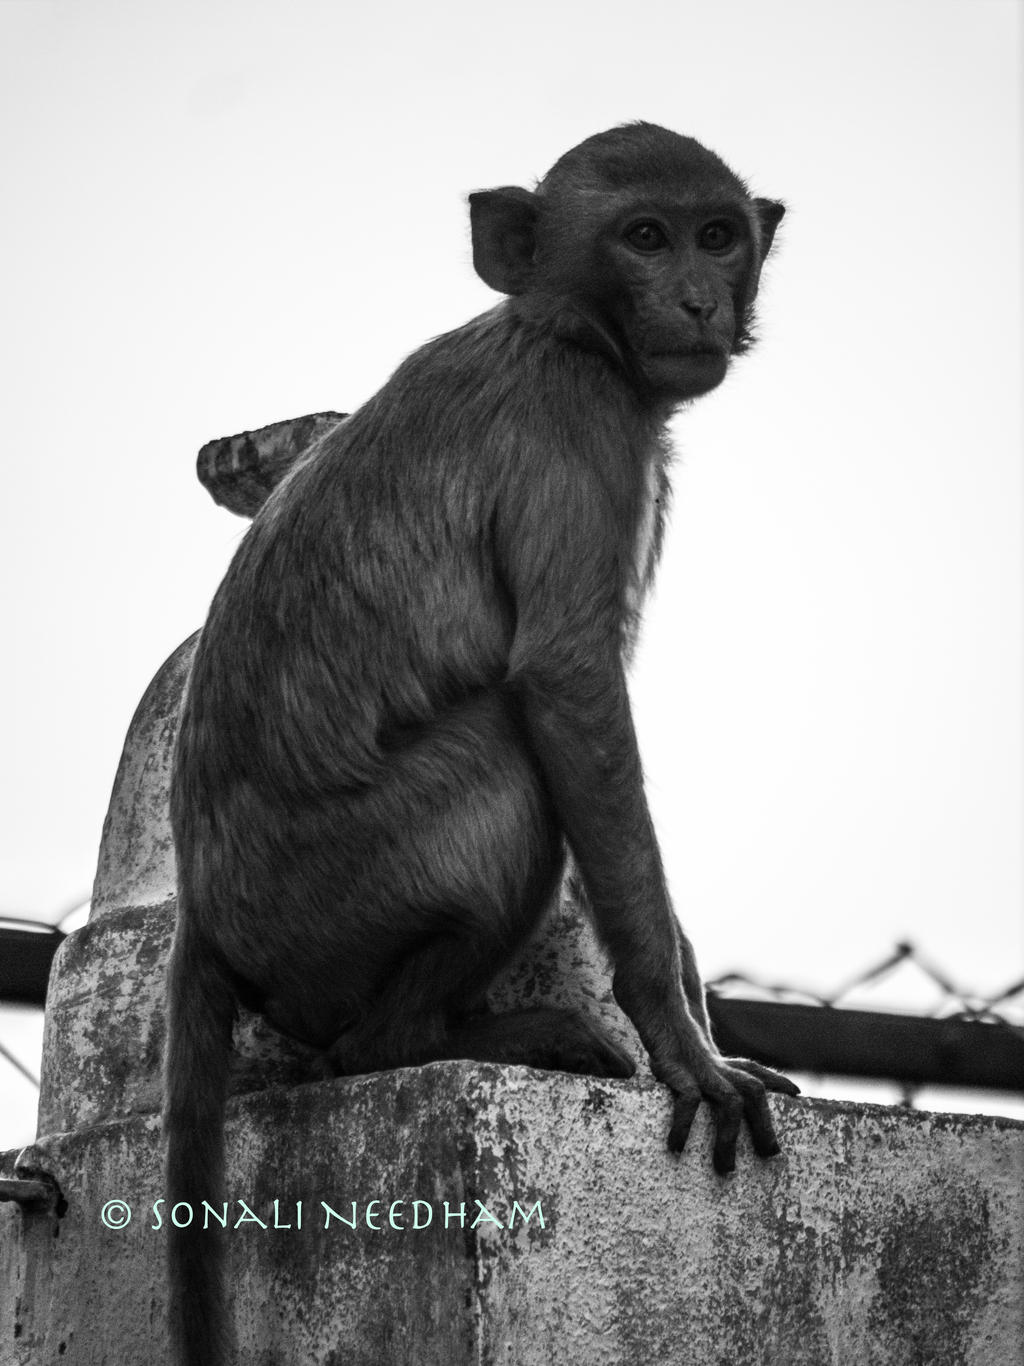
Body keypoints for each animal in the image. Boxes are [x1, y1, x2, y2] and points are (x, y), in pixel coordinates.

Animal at [164, 122, 797, 1366]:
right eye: (643, 236)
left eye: (716, 234)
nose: (698, 299)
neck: (560, 327)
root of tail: (204, 923)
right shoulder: (577, 431)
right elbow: (565, 686)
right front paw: (679, 1039)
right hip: (332, 908)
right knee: (506, 754)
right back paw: (424, 1038)